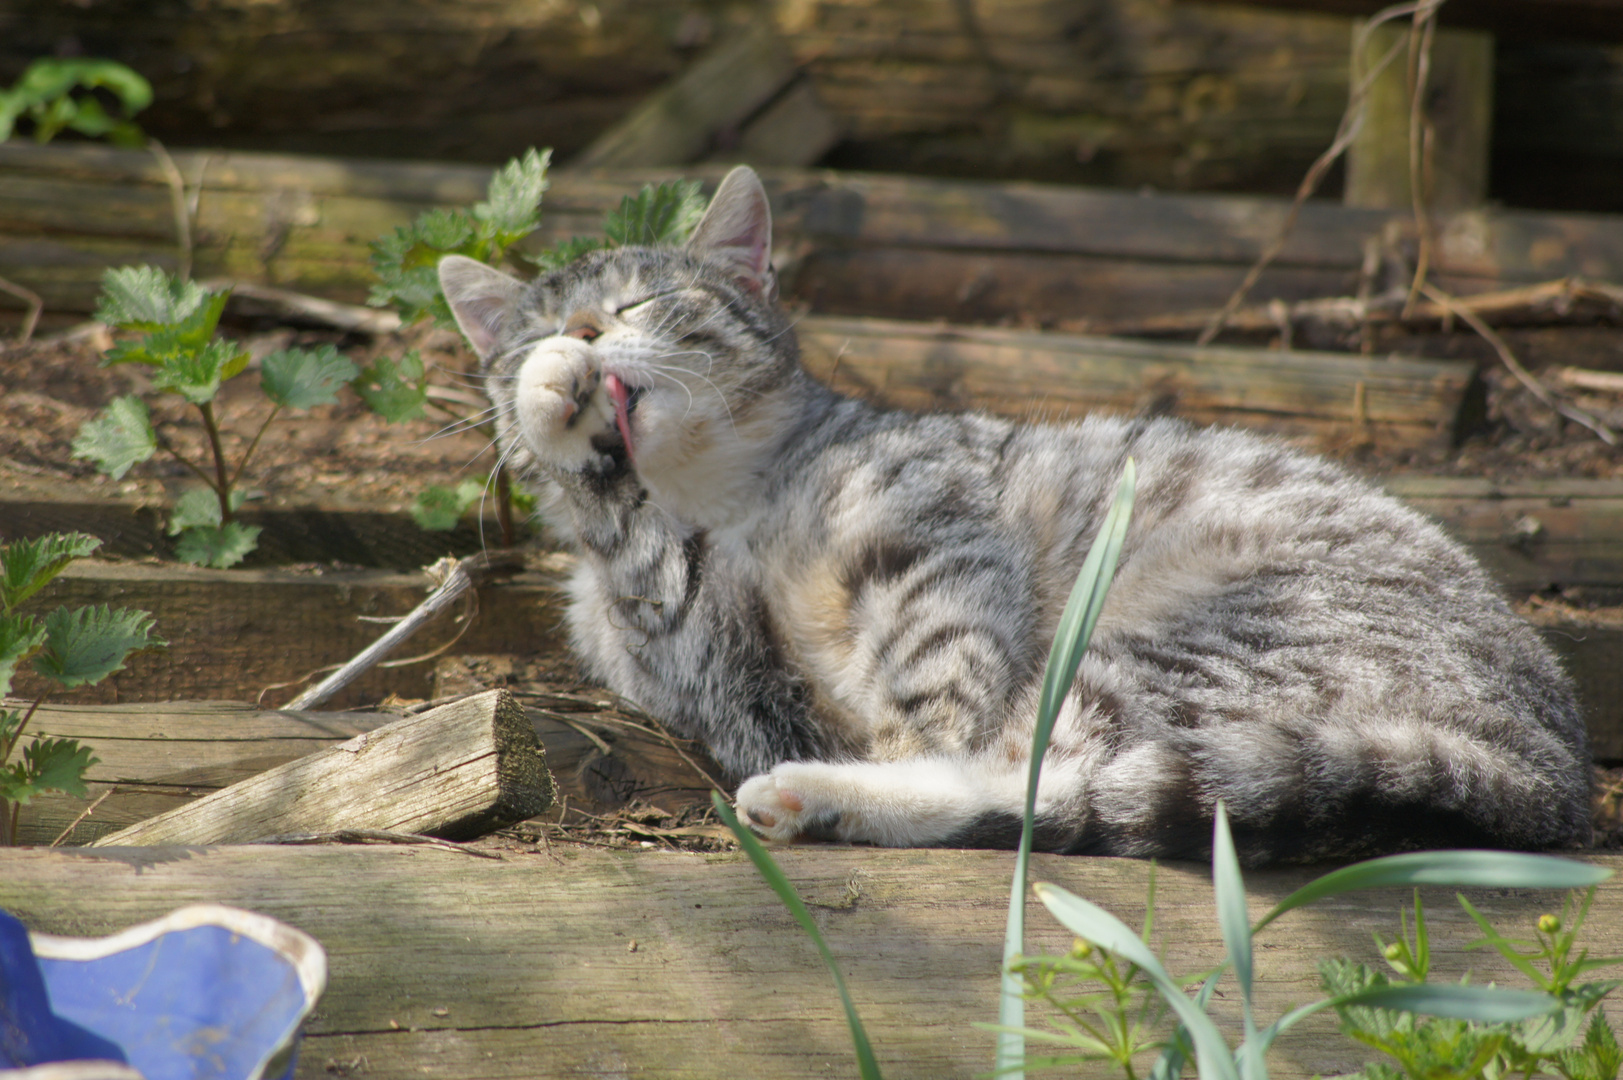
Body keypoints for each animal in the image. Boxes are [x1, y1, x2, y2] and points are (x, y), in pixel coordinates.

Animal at [438, 164, 1590, 864]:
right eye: (540, 318)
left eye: (639, 300)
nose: (582, 333)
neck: (721, 502)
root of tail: (1547, 772)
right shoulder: (704, 661)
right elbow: (624, 532)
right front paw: (550, 401)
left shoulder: (928, 551)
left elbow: (934, 695)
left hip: (1171, 639)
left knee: (1035, 780)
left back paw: (818, 792)